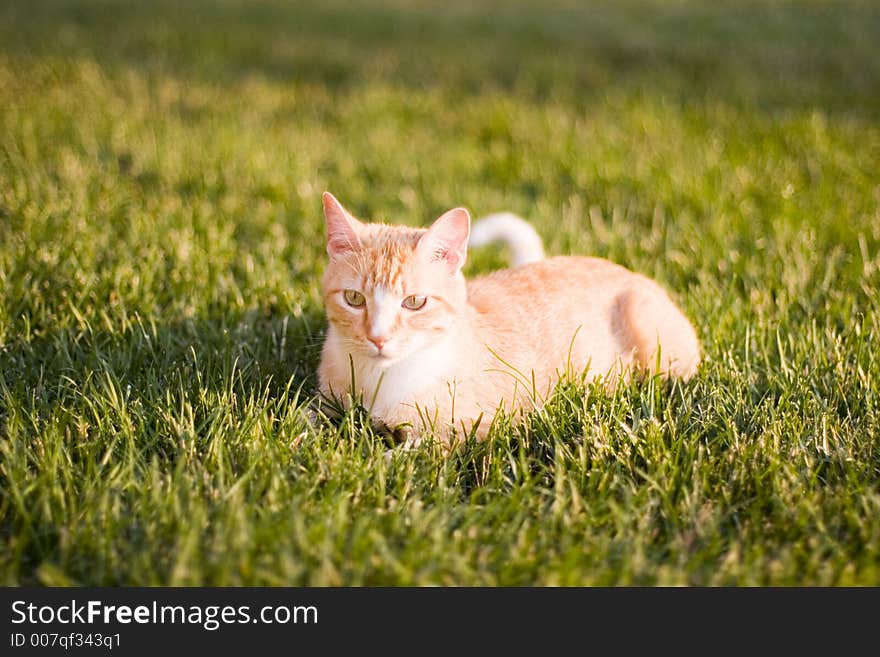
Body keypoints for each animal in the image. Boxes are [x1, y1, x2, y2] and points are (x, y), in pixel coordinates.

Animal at [318, 192, 700, 444]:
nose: (378, 337)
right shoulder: (326, 400)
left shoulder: (469, 427)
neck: (378, 380)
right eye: (354, 298)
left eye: (414, 302)